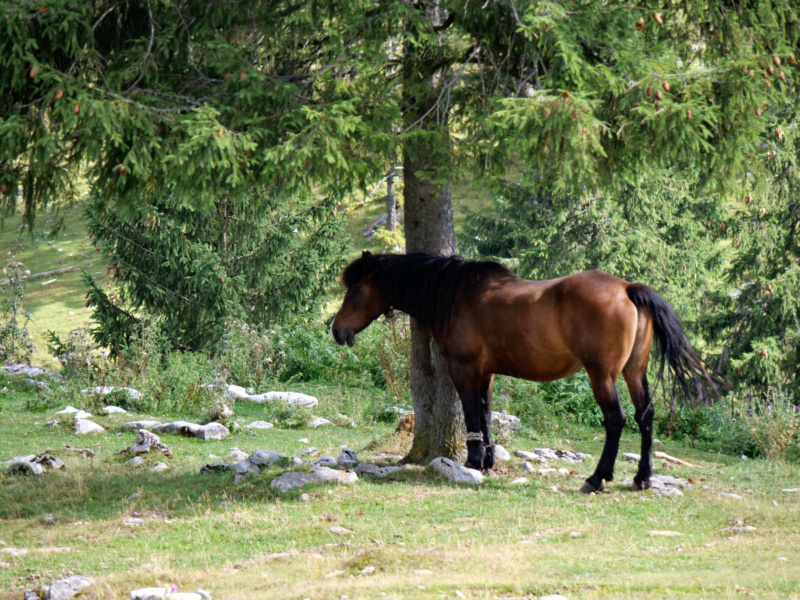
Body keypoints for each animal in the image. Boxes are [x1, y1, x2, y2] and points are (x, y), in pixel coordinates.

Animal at [332, 252, 724, 492]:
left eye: (356, 288)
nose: (336, 330)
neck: (458, 295)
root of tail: (627, 289)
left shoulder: (464, 370)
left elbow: (472, 415)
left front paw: (473, 462)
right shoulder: (487, 374)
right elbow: (486, 415)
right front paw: (487, 460)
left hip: (602, 375)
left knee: (616, 419)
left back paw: (597, 478)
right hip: (632, 372)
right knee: (645, 416)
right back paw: (642, 477)